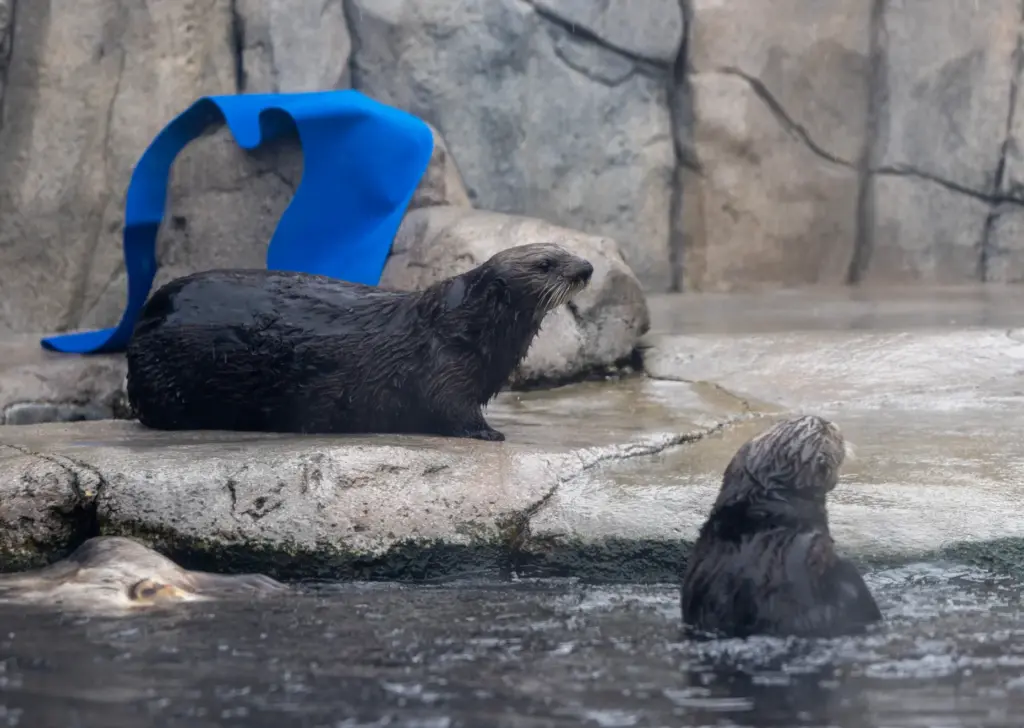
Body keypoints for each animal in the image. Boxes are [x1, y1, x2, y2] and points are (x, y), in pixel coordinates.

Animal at [125, 243, 594, 441]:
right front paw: (490, 433)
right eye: (546, 263)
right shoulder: (444, 365)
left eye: (566, 249)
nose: (586, 268)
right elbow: (451, 408)